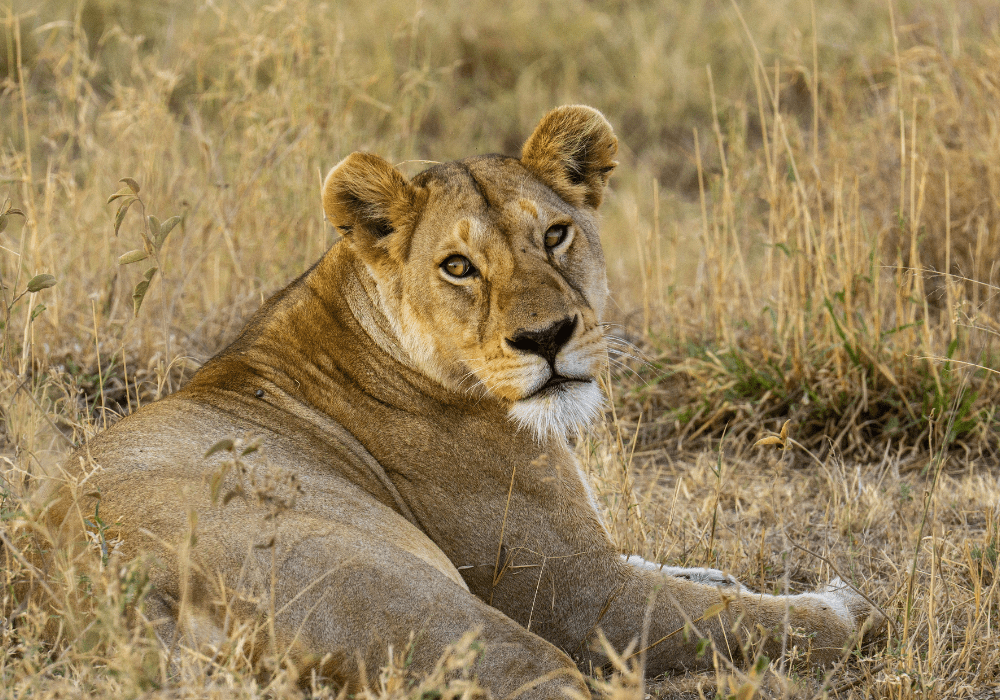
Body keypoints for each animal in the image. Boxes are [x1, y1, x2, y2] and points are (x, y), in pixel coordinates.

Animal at [47, 106, 876, 697]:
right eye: (457, 266)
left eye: (556, 234)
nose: (546, 337)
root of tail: (103, 602)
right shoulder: (581, 597)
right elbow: (747, 620)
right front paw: (847, 606)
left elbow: (692, 575)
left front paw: (726, 576)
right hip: (438, 610)